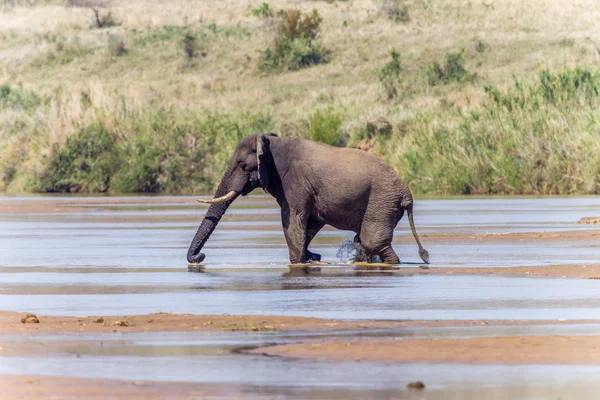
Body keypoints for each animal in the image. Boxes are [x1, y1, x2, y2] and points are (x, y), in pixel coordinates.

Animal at [185, 133, 428, 268]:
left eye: (243, 166)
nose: (200, 256)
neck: (272, 142)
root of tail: (407, 194)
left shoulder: (294, 182)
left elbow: (293, 220)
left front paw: (299, 261)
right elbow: (310, 223)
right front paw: (311, 256)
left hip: (382, 201)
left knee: (372, 241)